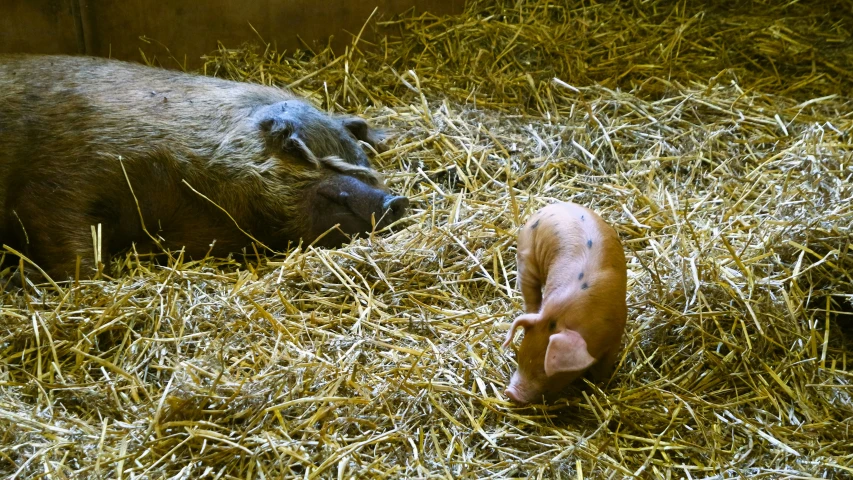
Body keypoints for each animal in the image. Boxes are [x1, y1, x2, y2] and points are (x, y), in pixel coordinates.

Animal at [500, 202, 624, 404]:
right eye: (521, 356)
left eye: (544, 370)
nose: (510, 393)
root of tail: (550, 206)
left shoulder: (617, 333)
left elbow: (604, 367)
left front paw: (601, 384)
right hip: (526, 257)